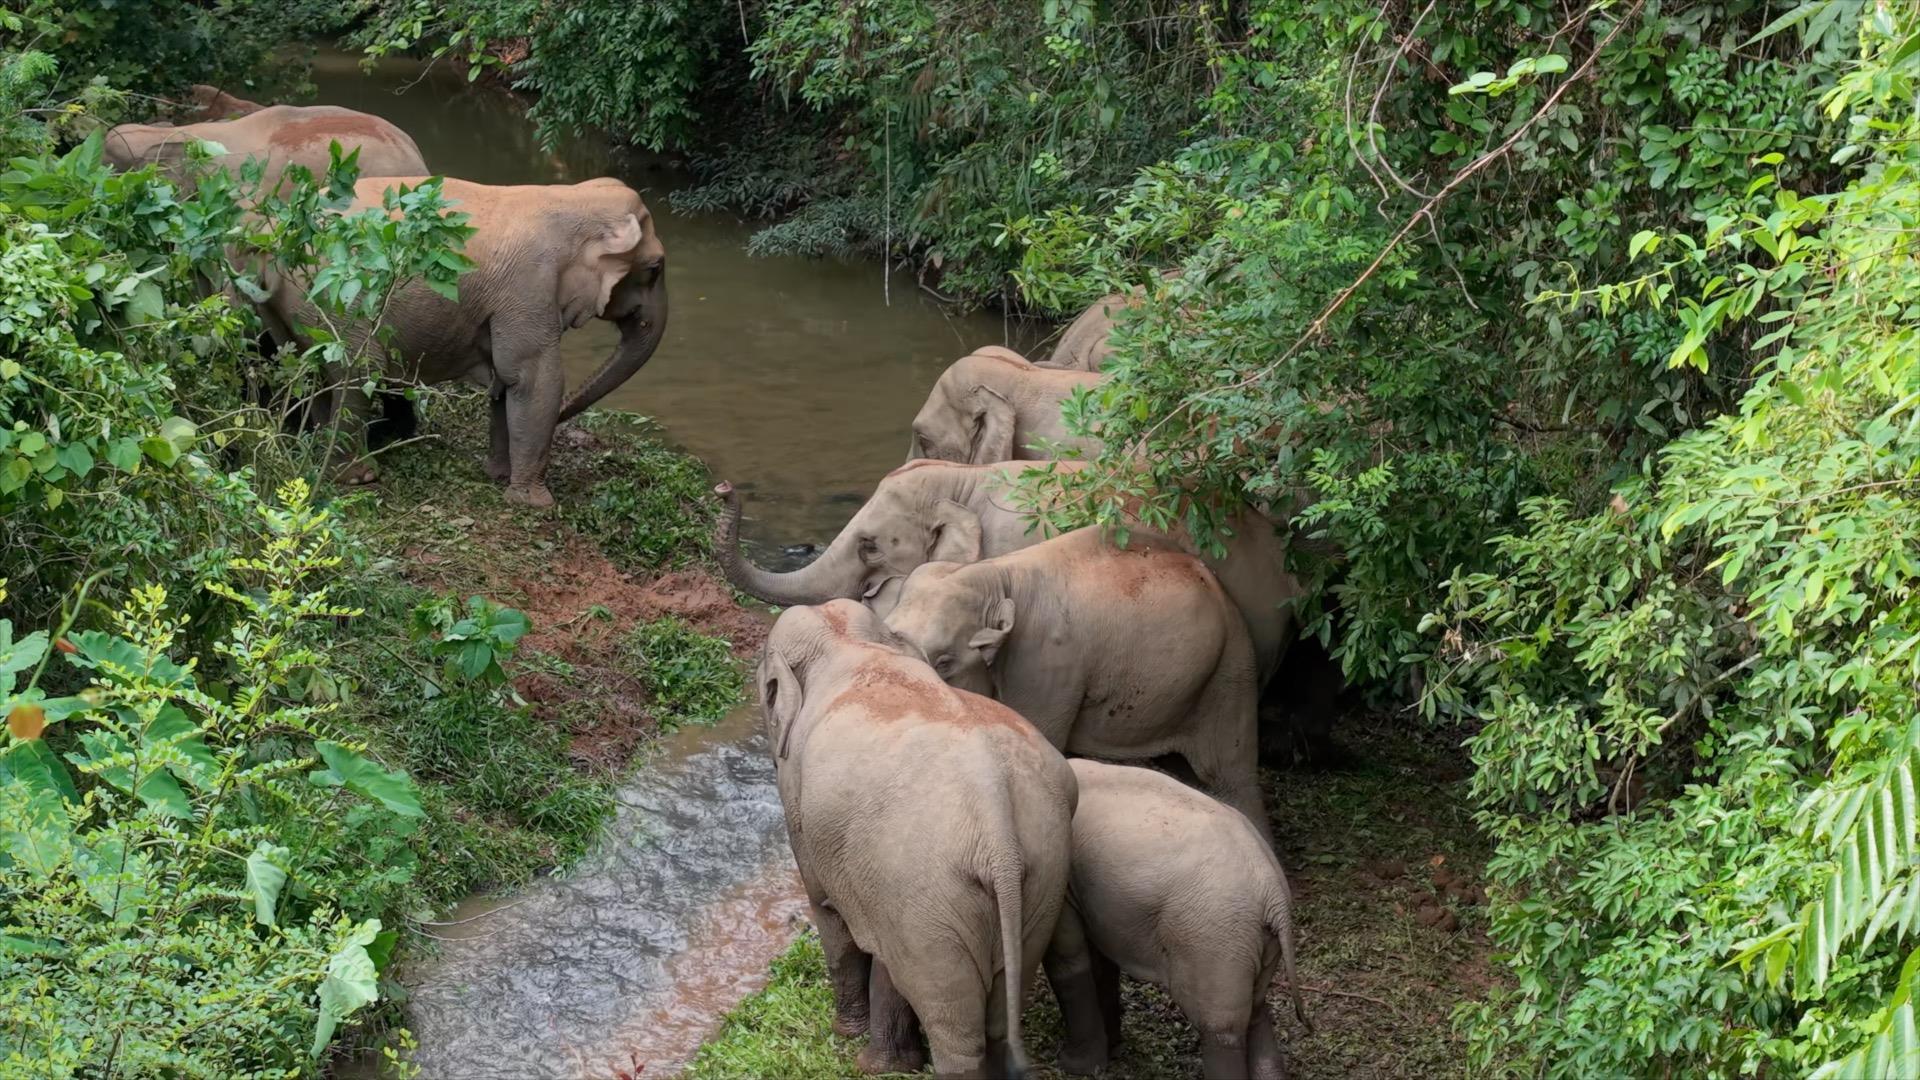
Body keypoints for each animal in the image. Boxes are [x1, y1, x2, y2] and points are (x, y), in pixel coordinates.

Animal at [255, 176, 667, 507]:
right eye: (655, 268)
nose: (567, 417)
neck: (572, 197)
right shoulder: (529, 287)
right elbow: (532, 378)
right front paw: (536, 504)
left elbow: (505, 379)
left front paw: (499, 476)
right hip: (340, 301)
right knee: (357, 372)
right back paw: (358, 476)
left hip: (288, 311)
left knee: (311, 370)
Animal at [760, 599, 1077, 1078]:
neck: (846, 641)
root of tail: (997, 820)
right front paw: (886, 1060)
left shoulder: (797, 801)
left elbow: (829, 912)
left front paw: (848, 1037)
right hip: (1042, 877)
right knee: (998, 1012)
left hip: (931, 892)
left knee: (953, 1026)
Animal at [1044, 759, 1307, 1080]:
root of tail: (1273, 894)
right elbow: (1101, 962)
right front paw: (1112, 1050)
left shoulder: (1062, 878)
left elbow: (1066, 954)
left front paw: (1074, 1066)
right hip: (1251, 941)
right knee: (1255, 1012)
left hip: (1213, 938)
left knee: (1219, 1026)